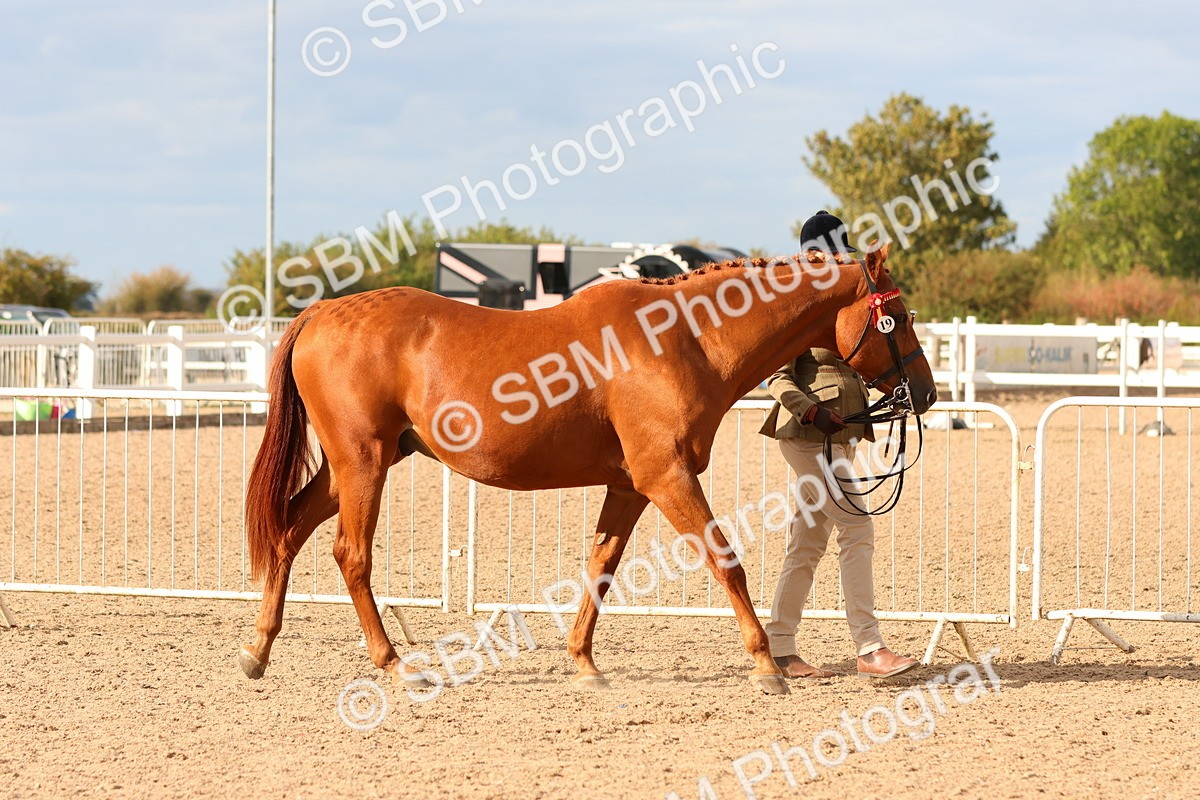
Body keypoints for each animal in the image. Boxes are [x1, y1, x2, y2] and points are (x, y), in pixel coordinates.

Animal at [239, 241, 936, 696]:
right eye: (898, 317)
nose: (925, 394)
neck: (682, 337)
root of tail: (321, 313)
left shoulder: (629, 485)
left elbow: (600, 566)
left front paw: (583, 662)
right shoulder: (667, 477)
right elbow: (726, 561)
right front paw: (766, 666)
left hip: (348, 469)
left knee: (288, 532)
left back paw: (257, 649)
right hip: (363, 464)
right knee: (350, 554)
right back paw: (394, 662)